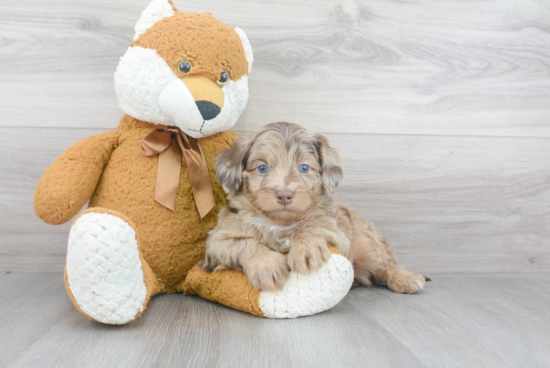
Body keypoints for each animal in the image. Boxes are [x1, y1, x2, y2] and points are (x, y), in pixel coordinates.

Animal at [204, 122, 432, 294]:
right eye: (262, 168)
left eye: (304, 168)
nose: (284, 194)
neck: (278, 224)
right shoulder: (217, 241)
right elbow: (246, 243)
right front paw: (266, 267)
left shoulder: (337, 232)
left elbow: (312, 227)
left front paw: (307, 249)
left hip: (367, 243)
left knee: (385, 265)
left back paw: (406, 278)